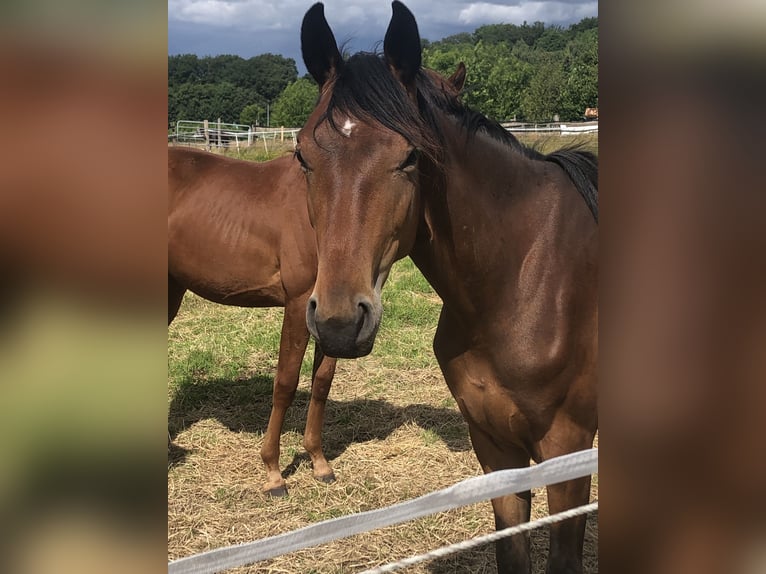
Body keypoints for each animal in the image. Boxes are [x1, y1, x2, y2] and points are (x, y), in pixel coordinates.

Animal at [300, 2, 600, 572]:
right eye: (303, 156)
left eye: (411, 156)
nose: (339, 323)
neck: (523, 277)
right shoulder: (496, 446)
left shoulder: (567, 452)